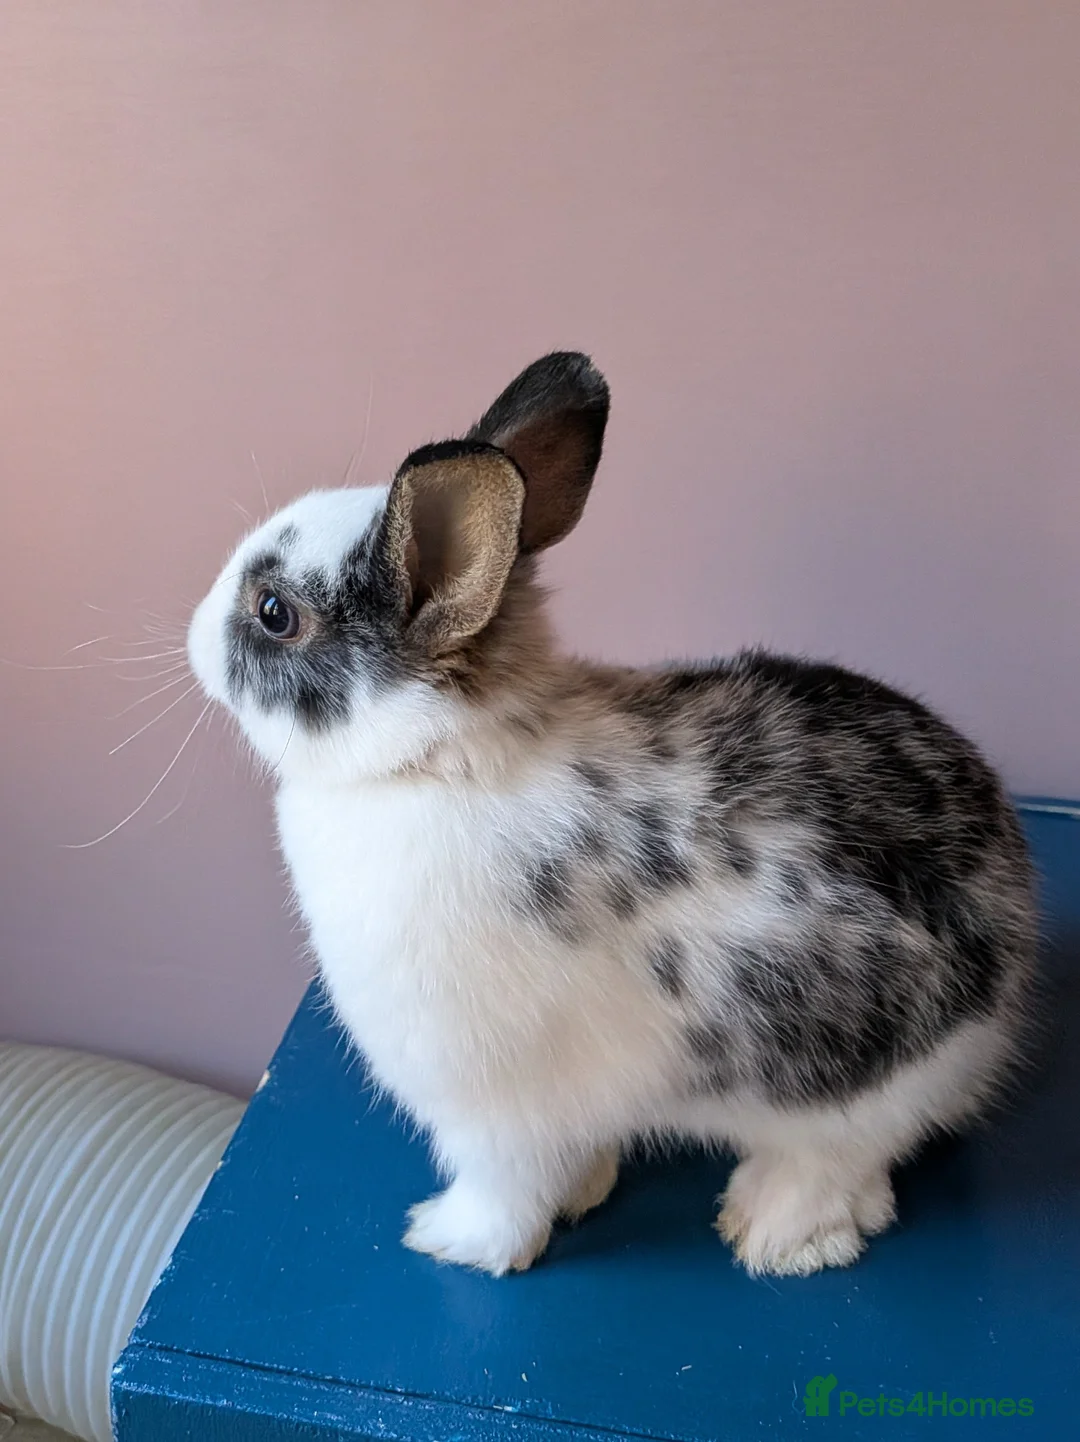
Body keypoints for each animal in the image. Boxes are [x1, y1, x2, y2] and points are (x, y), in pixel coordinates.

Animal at [187, 352, 1037, 1278]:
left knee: (842, 1166)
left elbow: (502, 1193)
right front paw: (582, 1191)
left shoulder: (491, 1111)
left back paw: (775, 1235)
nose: (193, 636)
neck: (441, 758)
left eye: (275, 614)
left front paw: (451, 1240)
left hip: (852, 1086)